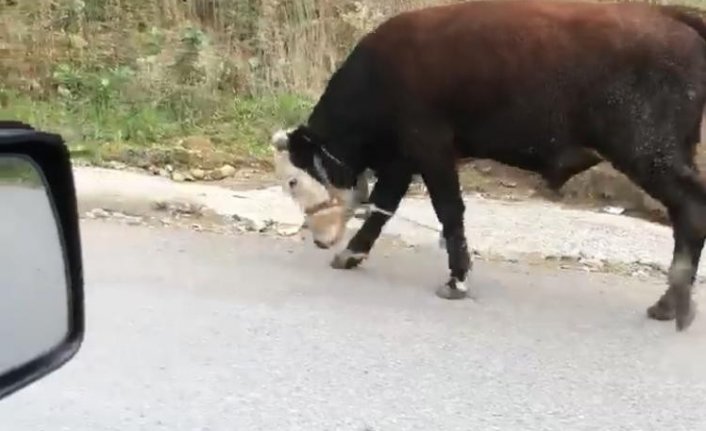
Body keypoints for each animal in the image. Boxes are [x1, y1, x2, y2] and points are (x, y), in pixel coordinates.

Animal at [272, 0, 704, 332]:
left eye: (293, 181)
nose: (318, 239)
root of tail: (670, 15)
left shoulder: (430, 148)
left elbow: (449, 211)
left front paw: (457, 280)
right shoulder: (403, 158)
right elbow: (383, 209)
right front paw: (350, 254)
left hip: (649, 153)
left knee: (691, 209)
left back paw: (672, 304)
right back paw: (669, 304)